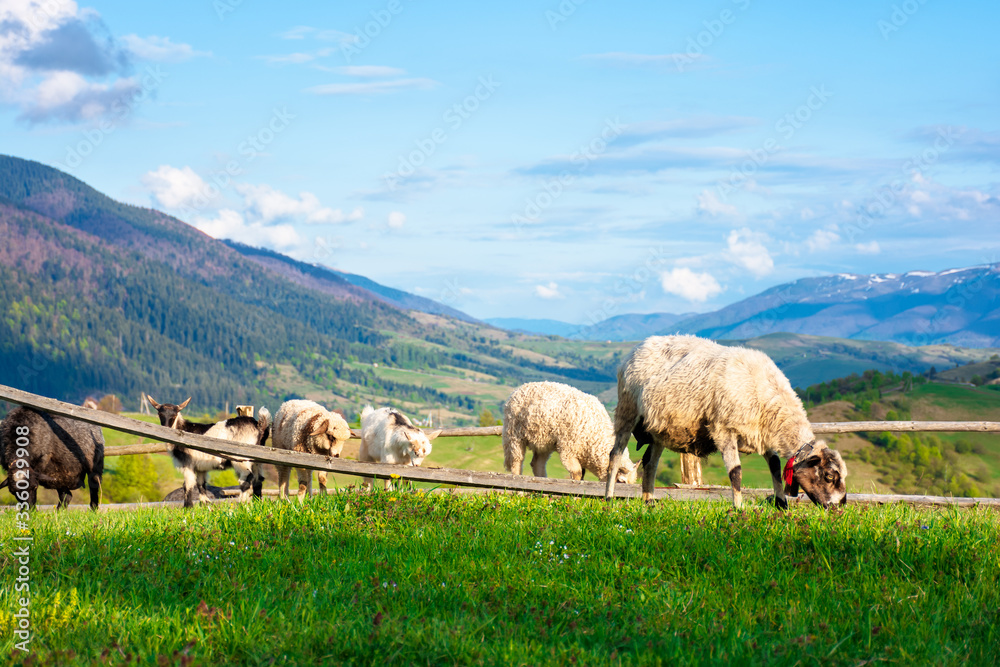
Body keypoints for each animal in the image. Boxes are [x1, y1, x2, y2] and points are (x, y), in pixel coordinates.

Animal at [502, 381, 638, 484]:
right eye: (621, 481)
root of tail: (520, 388)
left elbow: (582, 474)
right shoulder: (568, 449)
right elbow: (577, 473)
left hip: (543, 442)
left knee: (537, 463)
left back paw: (542, 479)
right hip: (514, 435)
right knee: (516, 461)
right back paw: (518, 478)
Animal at [605, 335, 848, 508]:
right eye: (829, 476)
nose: (840, 506)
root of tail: (638, 347)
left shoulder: (760, 433)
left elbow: (775, 465)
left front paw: (781, 504)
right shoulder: (724, 429)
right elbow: (736, 472)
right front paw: (739, 508)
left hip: (659, 429)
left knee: (650, 462)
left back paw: (649, 501)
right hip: (627, 410)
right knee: (615, 455)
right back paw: (609, 498)